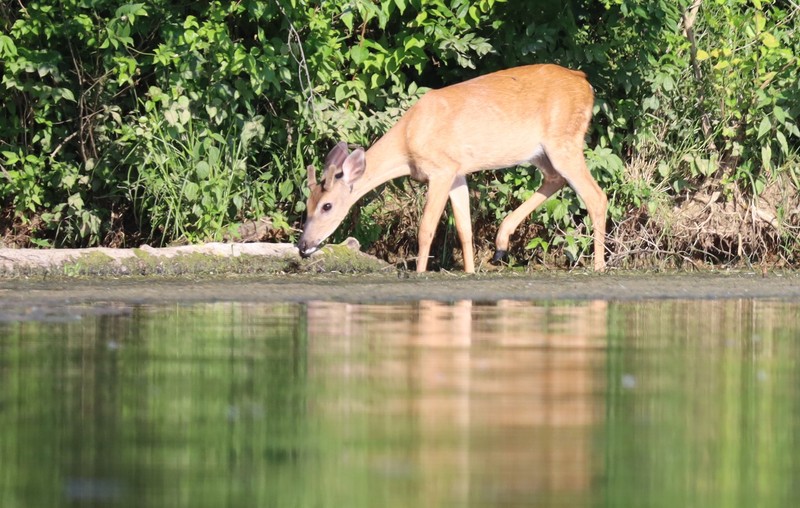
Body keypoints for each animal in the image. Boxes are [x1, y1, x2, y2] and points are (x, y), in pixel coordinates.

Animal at [298, 64, 608, 274]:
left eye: (327, 205)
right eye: (307, 204)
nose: (302, 244)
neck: (408, 138)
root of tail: (585, 83)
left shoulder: (441, 169)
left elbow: (426, 228)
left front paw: (420, 272)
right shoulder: (458, 172)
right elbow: (464, 229)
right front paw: (470, 271)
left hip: (563, 141)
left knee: (596, 196)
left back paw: (599, 266)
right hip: (541, 151)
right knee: (555, 179)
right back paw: (501, 244)